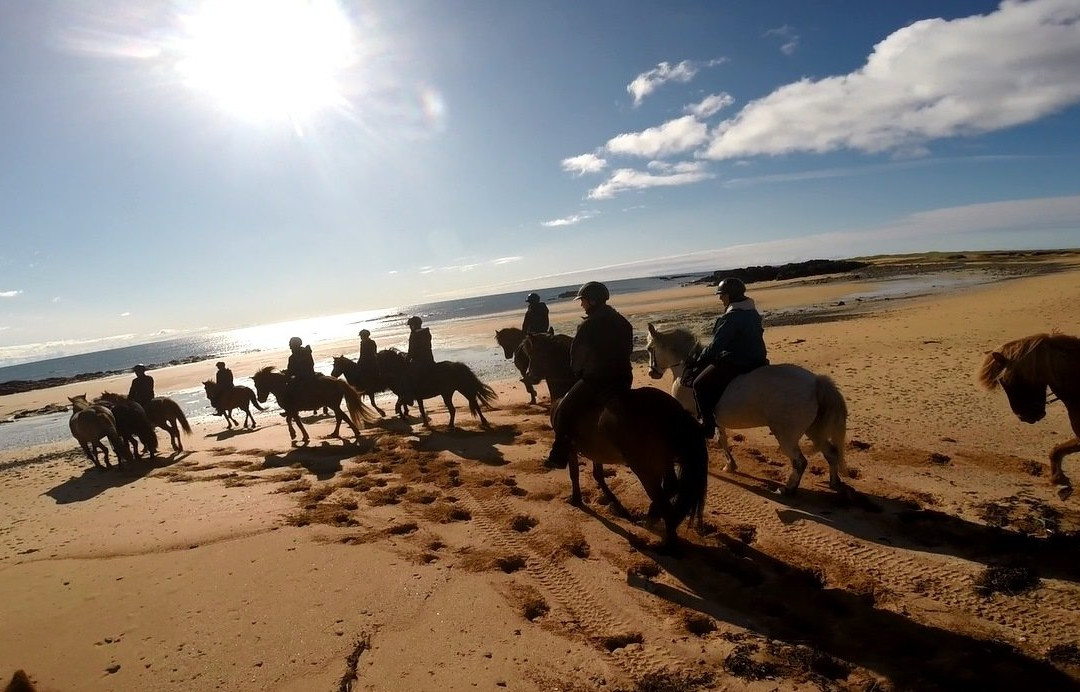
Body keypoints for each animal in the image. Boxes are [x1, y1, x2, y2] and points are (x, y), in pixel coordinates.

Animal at [250, 367, 378, 442]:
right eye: (256, 385)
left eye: (259, 384)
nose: (261, 399)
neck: (283, 387)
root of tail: (337, 381)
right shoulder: (292, 410)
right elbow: (290, 420)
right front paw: (295, 434)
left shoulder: (292, 409)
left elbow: (295, 422)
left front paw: (300, 435)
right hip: (333, 405)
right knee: (340, 417)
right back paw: (336, 433)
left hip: (333, 405)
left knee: (342, 416)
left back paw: (354, 432)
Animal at [520, 328, 708, 550]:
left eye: (533, 353)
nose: (528, 376)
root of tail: (672, 410)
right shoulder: (595, 451)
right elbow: (598, 474)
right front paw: (612, 502)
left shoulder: (570, 447)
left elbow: (574, 474)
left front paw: (576, 500)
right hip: (664, 460)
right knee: (671, 485)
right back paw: (652, 517)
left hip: (643, 466)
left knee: (663, 497)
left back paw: (665, 543)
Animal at [643, 321, 846, 494]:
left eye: (650, 349)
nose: (652, 373)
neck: (688, 369)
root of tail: (815, 382)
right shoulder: (714, 419)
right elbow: (722, 440)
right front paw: (730, 465)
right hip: (814, 429)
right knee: (831, 453)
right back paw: (835, 484)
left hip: (786, 435)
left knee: (800, 462)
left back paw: (788, 489)